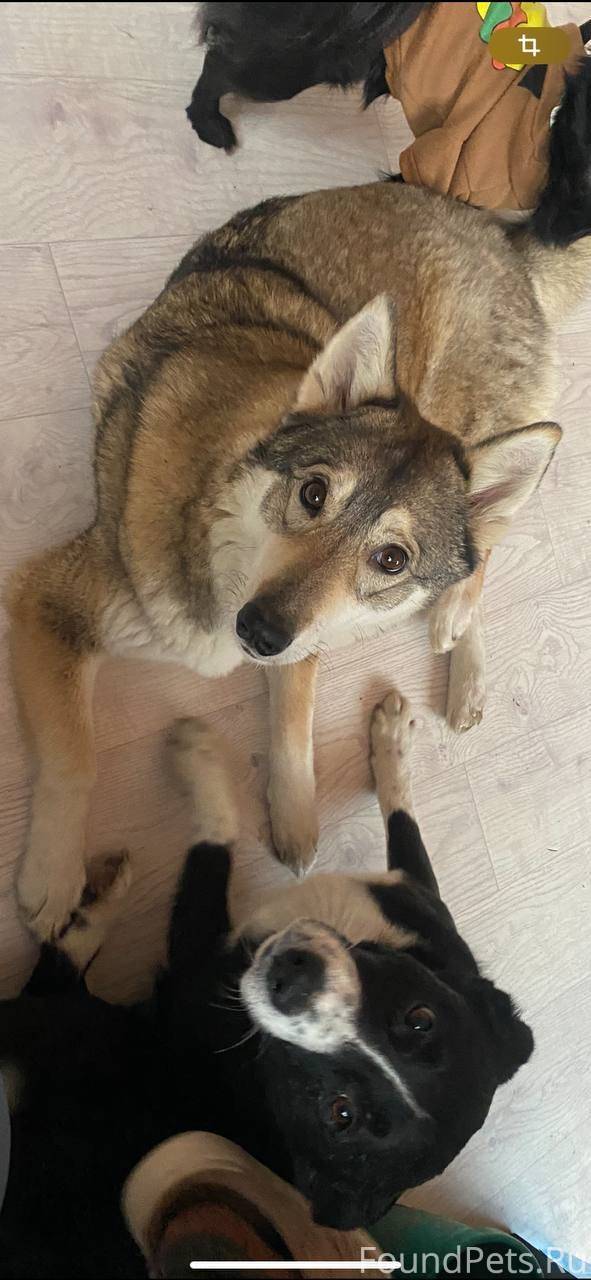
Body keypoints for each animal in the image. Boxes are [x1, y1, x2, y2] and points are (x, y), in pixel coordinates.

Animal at [0, 692, 533, 1274]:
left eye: (339, 1114)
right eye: (419, 1017)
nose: (293, 976)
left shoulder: (196, 961)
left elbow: (217, 840)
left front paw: (197, 753)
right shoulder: (420, 906)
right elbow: (404, 823)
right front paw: (393, 737)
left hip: (77, 1027)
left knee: (51, 979)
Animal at [7, 66, 591, 942]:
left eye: (389, 558)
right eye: (312, 494)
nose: (256, 630)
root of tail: (500, 239)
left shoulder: (308, 631)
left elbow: (293, 715)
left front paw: (291, 811)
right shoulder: (51, 596)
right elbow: (75, 754)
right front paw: (52, 875)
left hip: (479, 427)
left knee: (480, 548)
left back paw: (458, 638)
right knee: (478, 545)